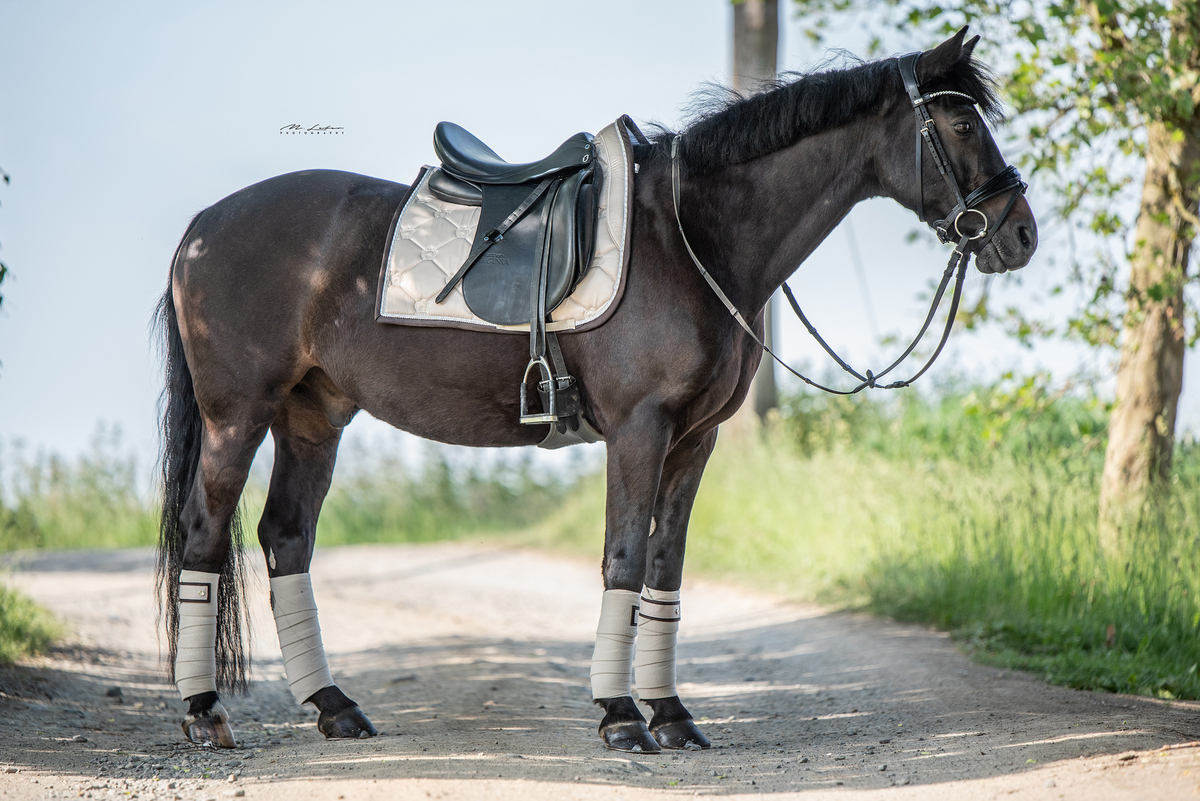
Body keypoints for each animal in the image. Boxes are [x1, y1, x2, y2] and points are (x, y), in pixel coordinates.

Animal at [154, 28, 1041, 753]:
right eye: (963, 124)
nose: (1020, 234)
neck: (693, 239)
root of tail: (201, 227)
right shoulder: (639, 429)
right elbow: (623, 557)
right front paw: (621, 716)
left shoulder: (694, 438)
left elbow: (665, 566)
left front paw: (672, 714)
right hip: (238, 416)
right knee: (204, 533)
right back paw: (204, 711)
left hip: (314, 416)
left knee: (286, 537)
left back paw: (333, 705)